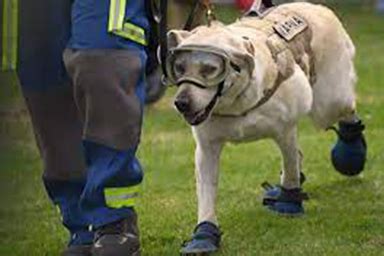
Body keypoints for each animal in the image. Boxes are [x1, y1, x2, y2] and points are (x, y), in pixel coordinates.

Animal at [167, 2, 366, 254]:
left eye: (210, 69)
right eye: (179, 68)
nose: (181, 103)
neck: (237, 102)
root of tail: (315, 6)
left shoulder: (285, 130)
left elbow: (290, 167)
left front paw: (289, 202)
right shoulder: (206, 148)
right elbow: (206, 193)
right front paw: (204, 235)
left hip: (329, 101)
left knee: (345, 111)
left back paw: (351, 153)